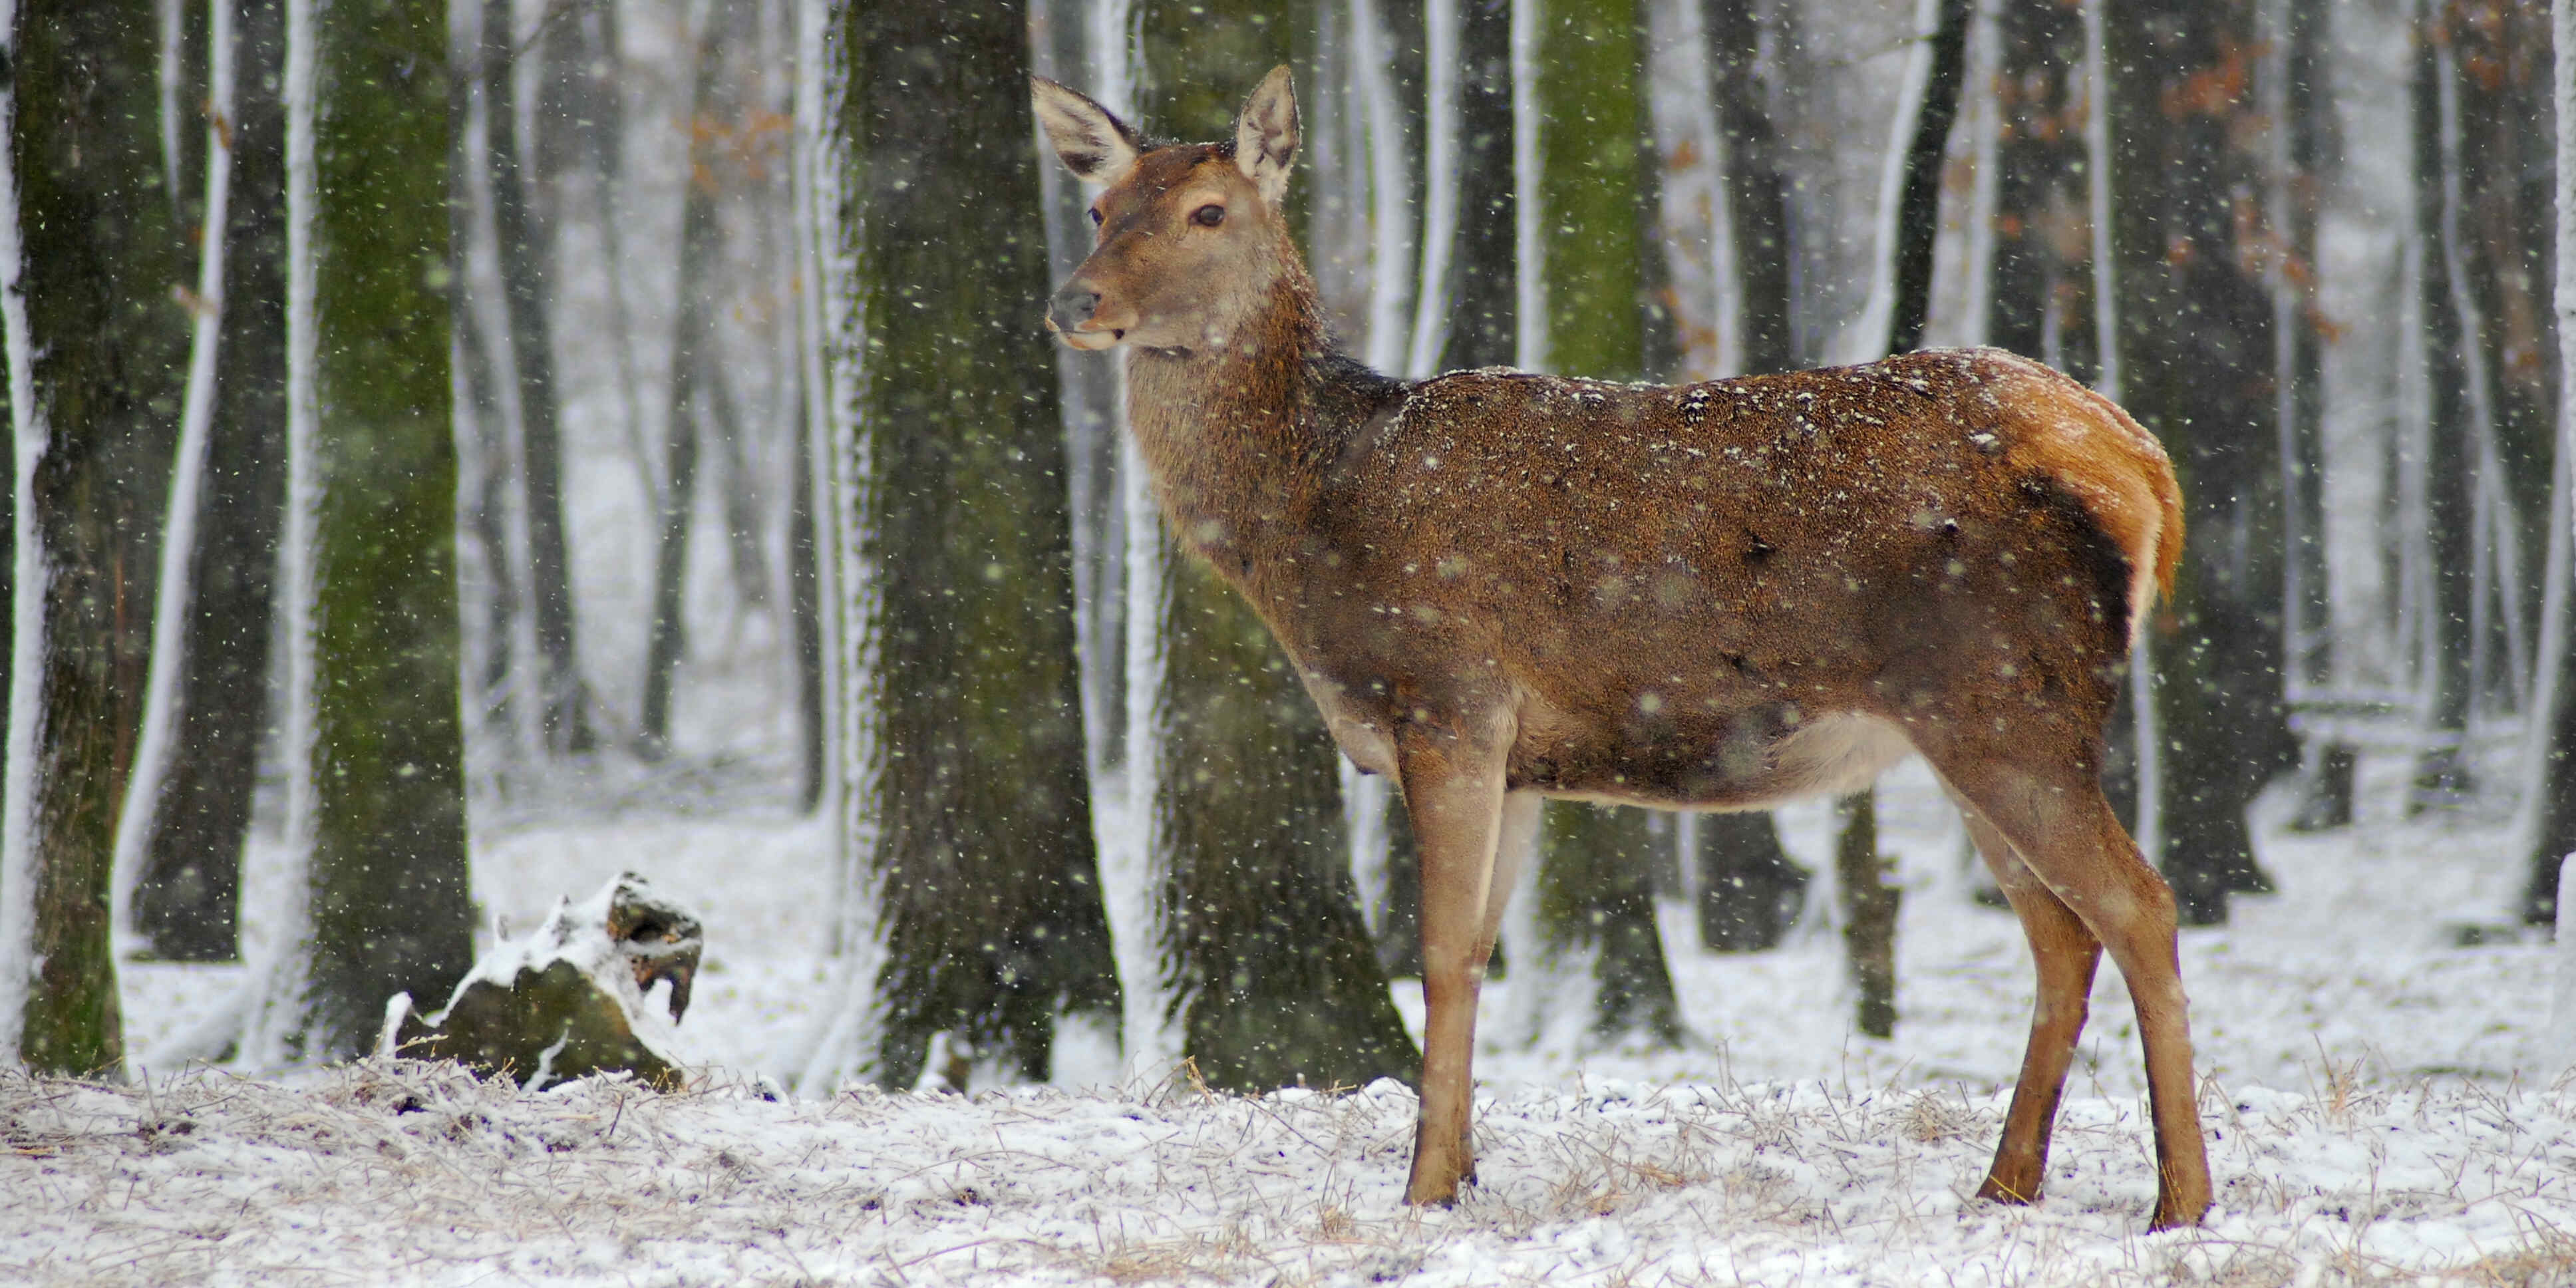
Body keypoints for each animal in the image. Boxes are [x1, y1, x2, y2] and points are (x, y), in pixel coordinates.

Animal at [1025, 63, 2215, 1226]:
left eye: (1209, 211)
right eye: (1098, 207)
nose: (1074, 301)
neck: (1317, 522)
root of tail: (2145, 467)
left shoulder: (1448, 698)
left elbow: (1439, 956)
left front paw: (1420, 1191)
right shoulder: (1520, 762)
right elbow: (1477, 952)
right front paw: (1463, 1175)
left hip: (2006, 698)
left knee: (2138, 905)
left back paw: (2180, 1202)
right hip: (1969, 725)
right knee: (2060, 933)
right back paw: (2005, 1184)